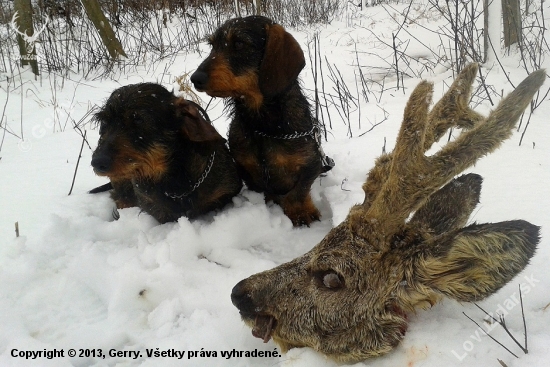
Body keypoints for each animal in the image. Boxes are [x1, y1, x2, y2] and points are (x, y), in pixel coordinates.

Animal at [192, 15, 334, 227]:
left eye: (239, 43)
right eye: (212, 45)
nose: (195, 79)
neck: (262, 125)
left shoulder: (311, 164)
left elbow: (297, 193)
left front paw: (302, 214)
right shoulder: (245, 168)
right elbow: (264, 191)